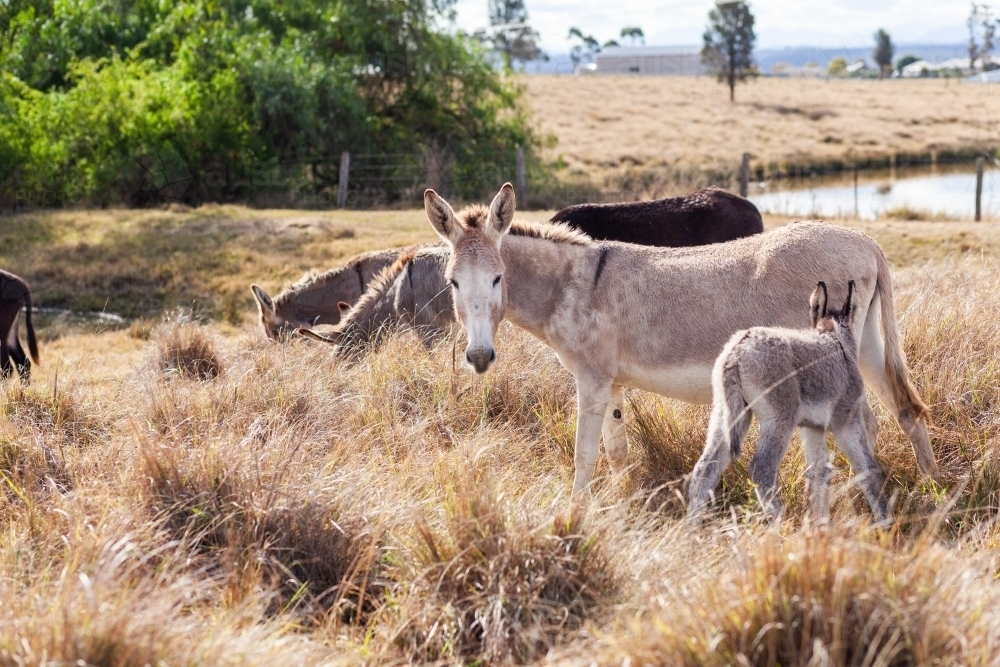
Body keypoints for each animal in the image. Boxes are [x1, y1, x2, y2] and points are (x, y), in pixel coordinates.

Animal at [423, 183, 936, 495]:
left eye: (497, 279)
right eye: (452, 283)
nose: (480, 358)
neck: (573, 286)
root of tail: (865, 242)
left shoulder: (591, 379)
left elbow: (584, 455)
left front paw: (574, 518)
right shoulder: (612, 384)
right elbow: (618, 452)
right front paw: (623, 505)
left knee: (865, 420)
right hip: (864, 346)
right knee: (900, 413)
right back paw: (926, 491)